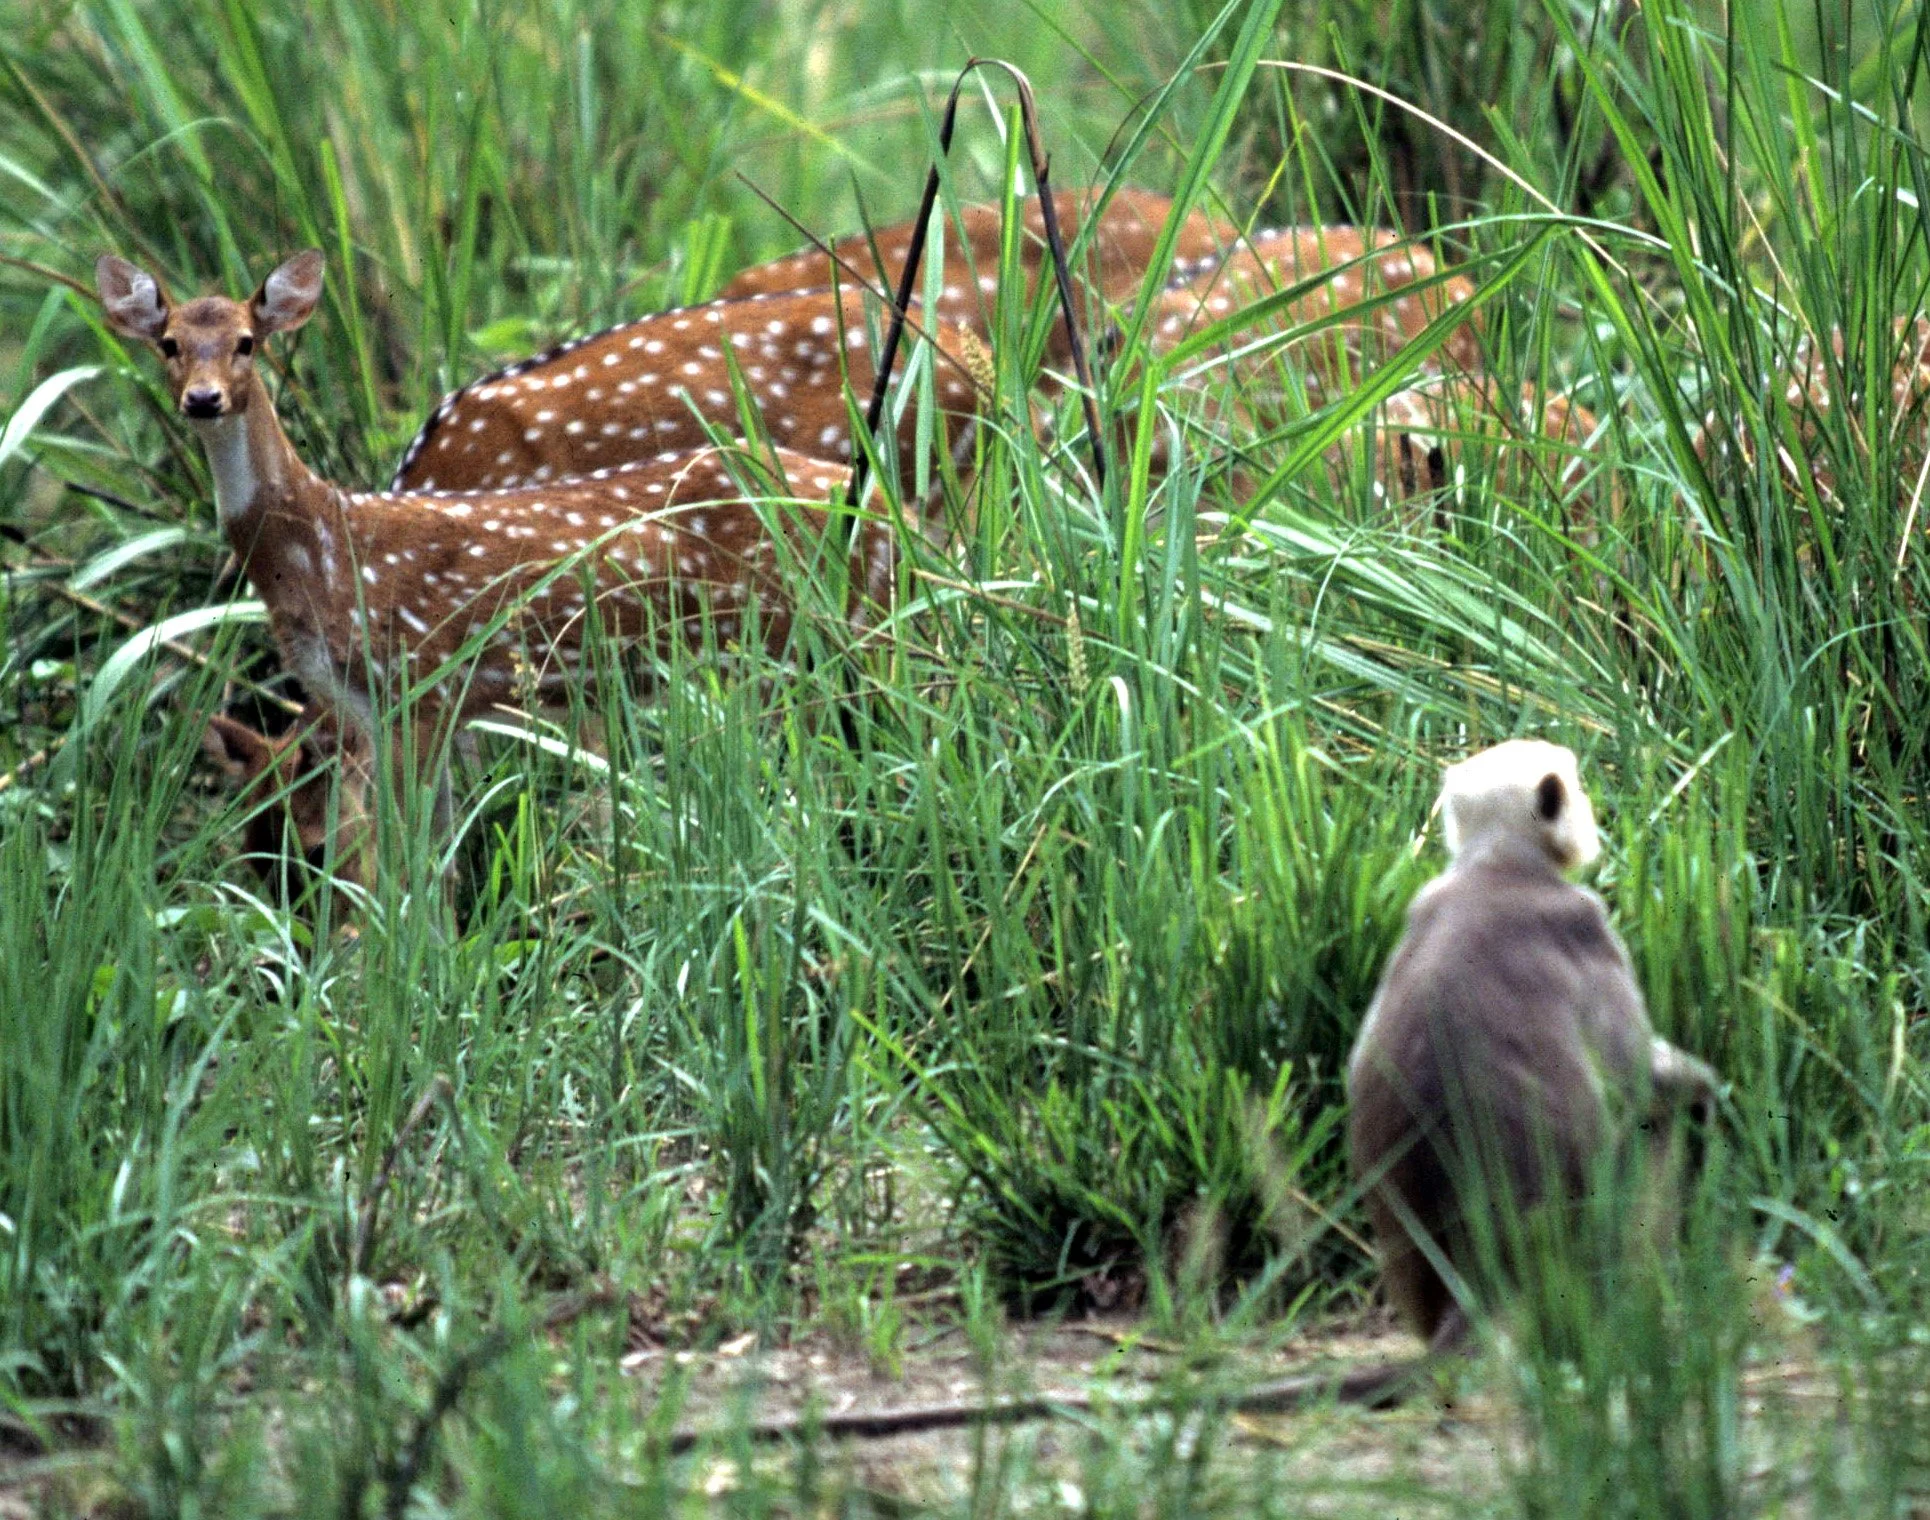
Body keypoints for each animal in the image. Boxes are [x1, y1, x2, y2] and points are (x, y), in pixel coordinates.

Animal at [96, 250, 895, 826]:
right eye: (168, 344)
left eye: (246, 342)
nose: (203, 399)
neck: (322, 546)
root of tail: (886, 507)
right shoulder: (403, 707)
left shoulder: (416, 685)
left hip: (809, 638)